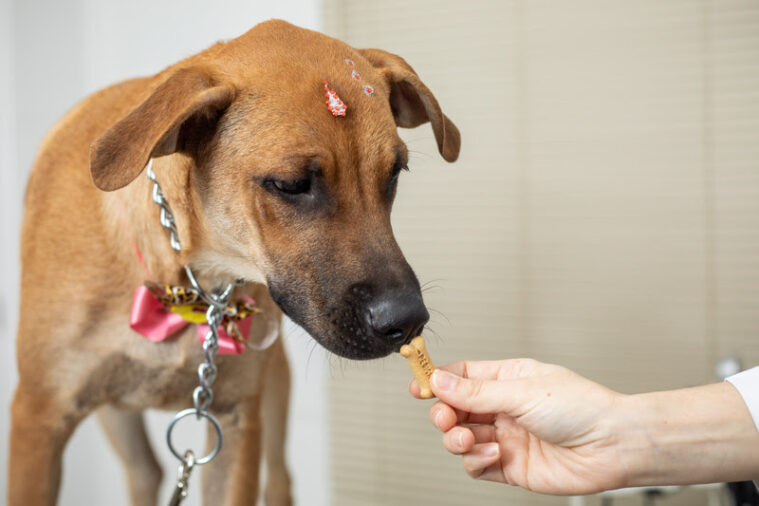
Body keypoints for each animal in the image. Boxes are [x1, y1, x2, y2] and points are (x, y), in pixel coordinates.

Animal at [8, 20, 460, 506]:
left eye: (394, 173)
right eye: (291, 184)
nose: (408, 320)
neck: (190, 279)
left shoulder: (235, 422)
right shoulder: (38, 419)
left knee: (275, 479)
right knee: (145, 471)